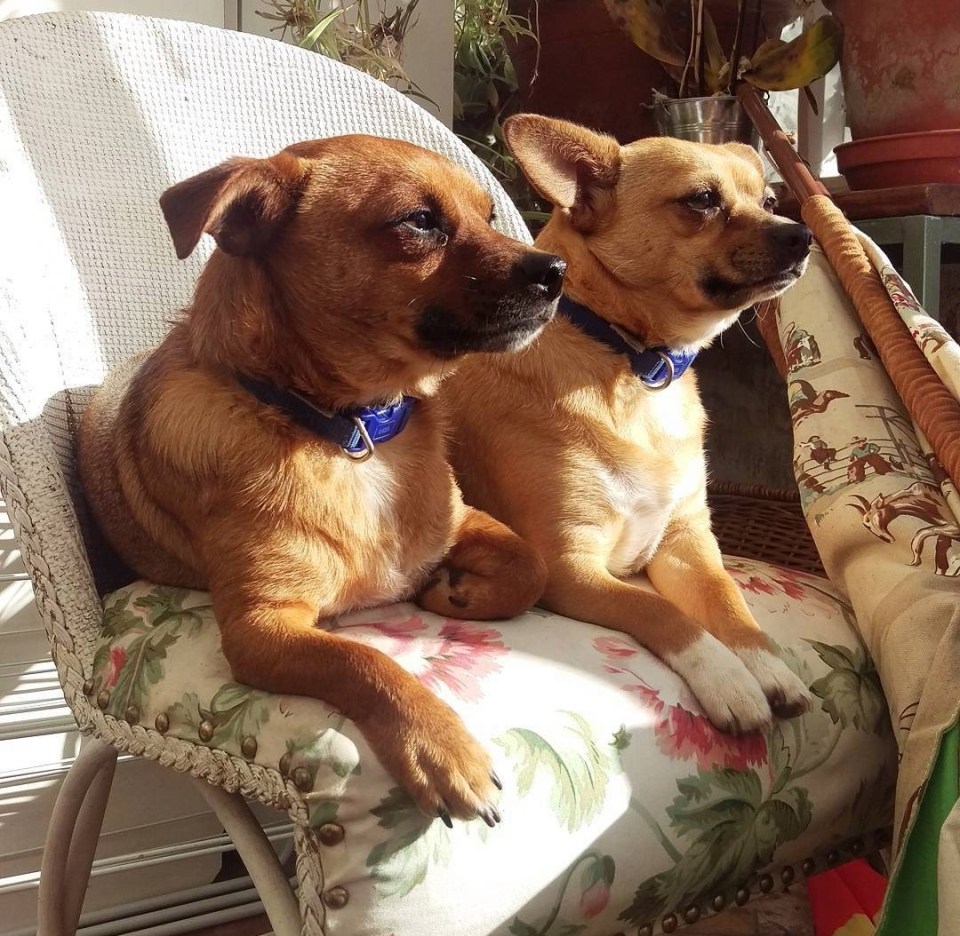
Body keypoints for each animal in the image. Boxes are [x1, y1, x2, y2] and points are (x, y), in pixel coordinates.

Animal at [79, 135, 568, 824]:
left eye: (490, 217)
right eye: (420, 222)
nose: (556, 270)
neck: (354, 433)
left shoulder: (465, 520)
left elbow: (532, 567)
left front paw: (458, 594)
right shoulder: (262, 628)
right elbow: (360, 659)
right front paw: (440, 745)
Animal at [446, 115, 812, 732]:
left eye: (767, 200)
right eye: (702, 200)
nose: (803, 233)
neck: (637, 365)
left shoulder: (688, 543)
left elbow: (729, 601)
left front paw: (768, 666)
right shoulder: (570, 567)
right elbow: (660, 611)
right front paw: (729, 678)